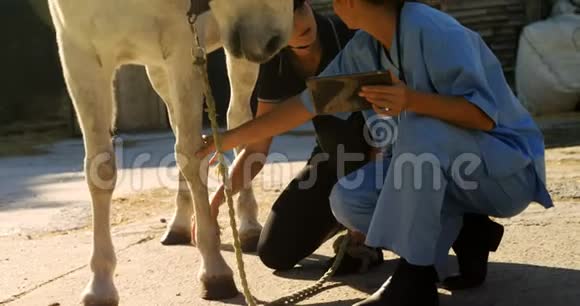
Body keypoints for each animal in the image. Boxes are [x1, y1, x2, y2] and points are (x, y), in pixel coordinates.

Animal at [47, 0, 294, 304]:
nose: (272, 39)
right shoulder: (80, 56)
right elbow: (99, 168)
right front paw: (100, 287)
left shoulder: (184, 48)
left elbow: (191, 155)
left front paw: (215, 272)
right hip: (160, 66)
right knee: (180, 129)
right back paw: (179, 224)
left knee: (237, 118)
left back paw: (247, 226)